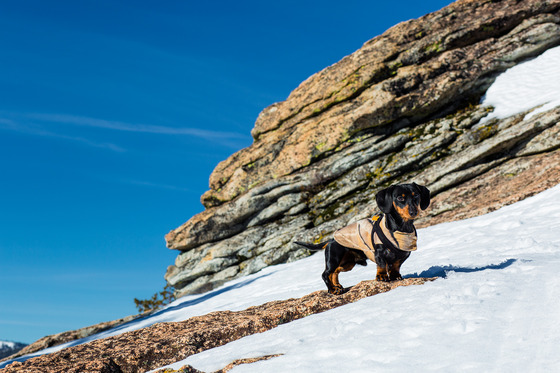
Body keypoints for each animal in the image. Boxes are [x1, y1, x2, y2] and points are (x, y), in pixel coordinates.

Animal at [296, 182, 430, 294]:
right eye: (400, 198)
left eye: (416, 195)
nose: (413, 212)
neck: (400, 230)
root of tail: (331, 240)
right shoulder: (379, 252)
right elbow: (382, 265)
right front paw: (382, 276)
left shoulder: (403, 255)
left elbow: (396, 266)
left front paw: (395, 276)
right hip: (334, 258)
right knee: (326, 274)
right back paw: (333, 289)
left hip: (347, 263)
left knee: (335, 272)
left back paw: (337, 286)